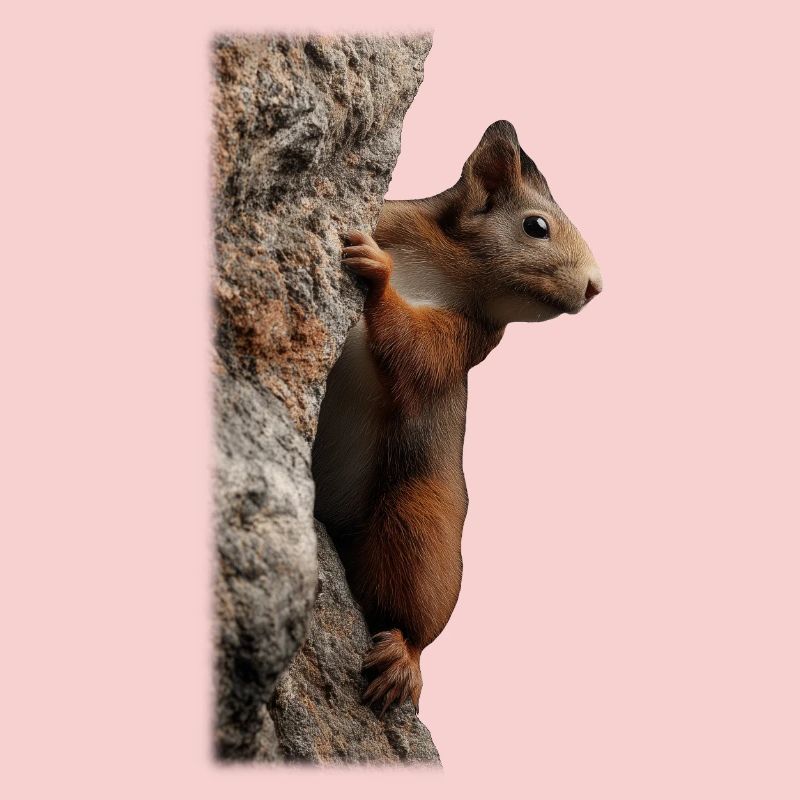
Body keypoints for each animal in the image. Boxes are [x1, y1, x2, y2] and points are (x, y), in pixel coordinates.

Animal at [312, 120, 602, 716]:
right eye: (536, 226)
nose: (596, 285)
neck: (452, 265)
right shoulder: (397, 220)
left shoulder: (469, 338)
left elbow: (418, 353)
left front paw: (378, 276)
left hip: (423, 517)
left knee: (414, 602)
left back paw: (403, 657)